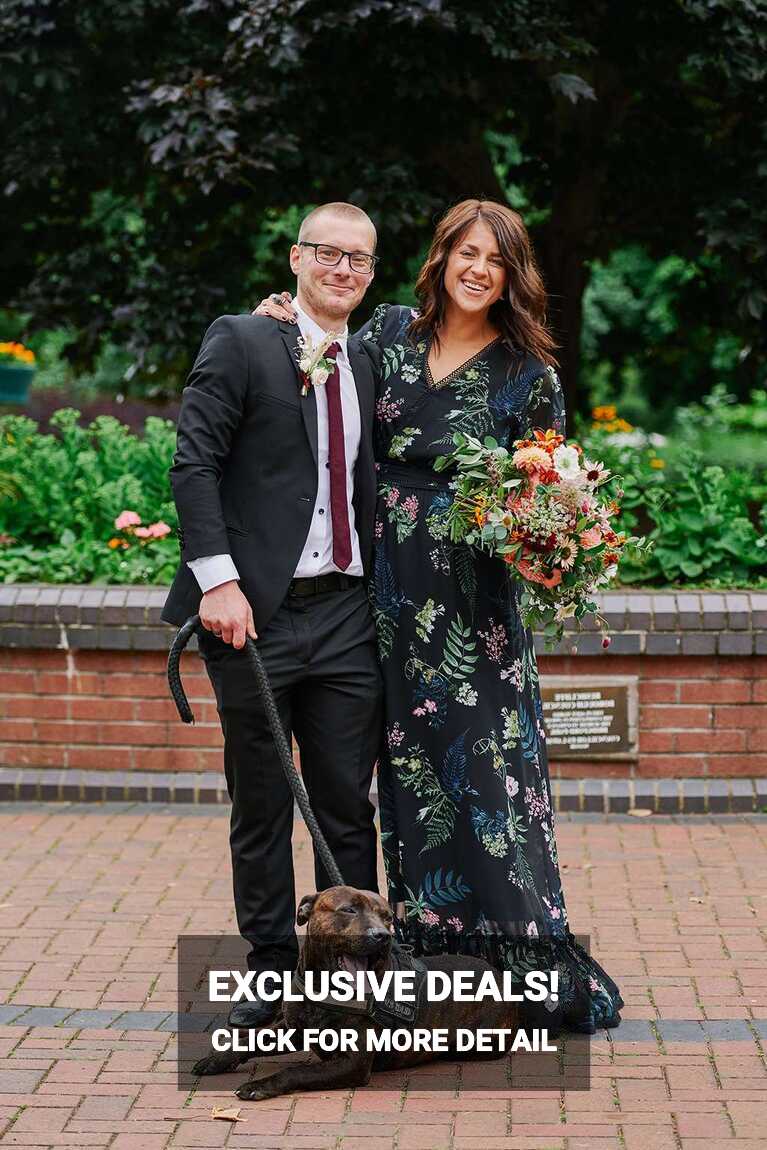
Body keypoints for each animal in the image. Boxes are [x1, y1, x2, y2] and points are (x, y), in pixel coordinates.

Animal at [190, 883, 522, 1099]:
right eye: (349, 910)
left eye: (387, 917)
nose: (382, 936)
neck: (323, 986)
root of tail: (499, 975)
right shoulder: (291, 1028)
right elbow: (250, 1040)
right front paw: (217, 1059)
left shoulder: (352, 1063)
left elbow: (297, 1071)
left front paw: (260, 1085)